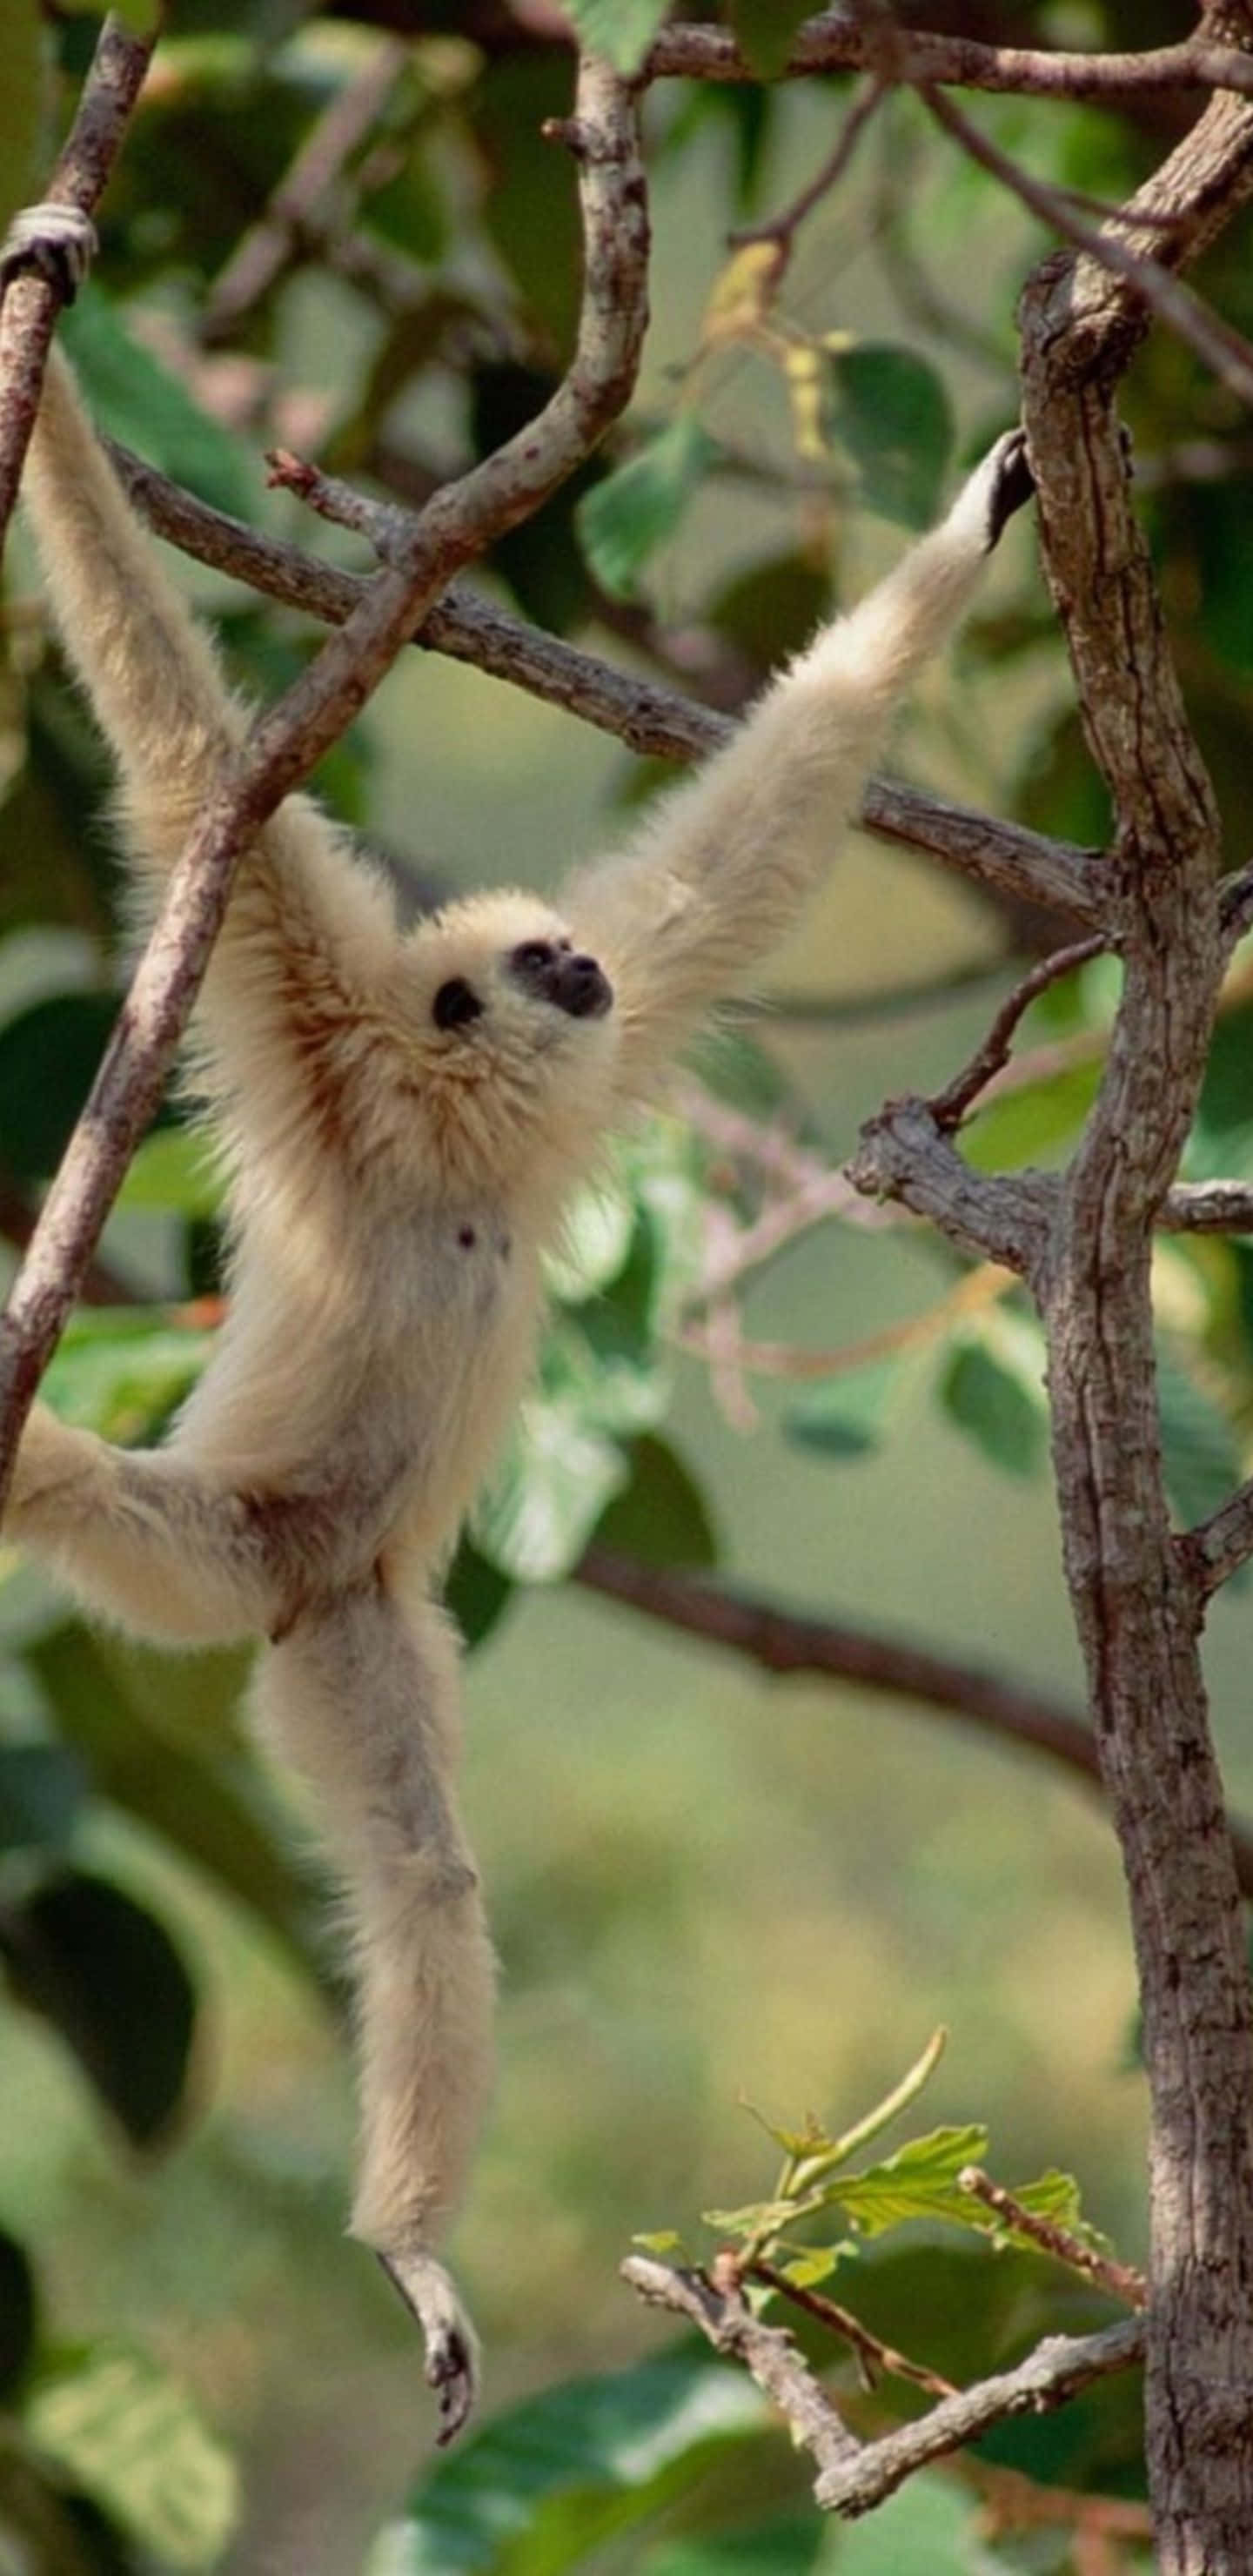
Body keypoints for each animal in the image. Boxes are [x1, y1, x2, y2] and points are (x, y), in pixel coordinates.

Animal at [0, 201, 1032, 2444]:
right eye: (530, 964)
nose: (569, 969)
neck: (461, 1141)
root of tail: (301, 1563)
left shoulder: (601, 1048)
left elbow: (741, 857)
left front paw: (988, 507)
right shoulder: (310, 1008)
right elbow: (187, 755)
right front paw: (43, 307)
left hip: (357, 1620)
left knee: (423, 1889)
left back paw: (411, 2235)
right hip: (215, 1559)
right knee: (62, 1487)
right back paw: (411, 2244)